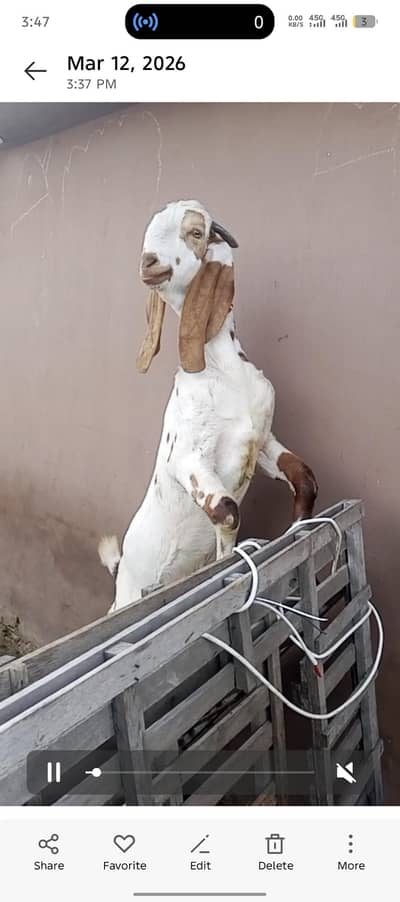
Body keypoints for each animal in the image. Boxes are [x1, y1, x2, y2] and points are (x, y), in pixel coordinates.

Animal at [99, 200, 317, 611]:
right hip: (129, 594)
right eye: (148, 235)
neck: (223, 371)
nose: (148, 263)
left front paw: (298, 525)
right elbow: (228, 510)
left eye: (196, 233)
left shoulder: (262, 440)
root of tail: (122, 572)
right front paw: (226, 563)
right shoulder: (187, 457)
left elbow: (304, 477)